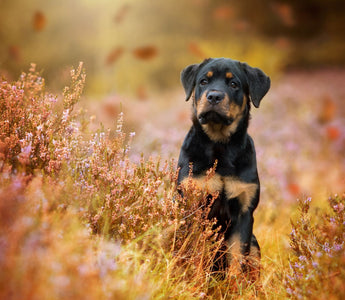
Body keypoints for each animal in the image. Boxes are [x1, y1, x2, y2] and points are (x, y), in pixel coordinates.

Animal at [177, 57, 268, 276]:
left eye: (233, 84)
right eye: (203, 81)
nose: (214, 96)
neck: (220, 147)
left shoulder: (244, 211)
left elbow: (237, 260)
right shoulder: (194, 203)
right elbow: (196, 254)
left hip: (255, 243)